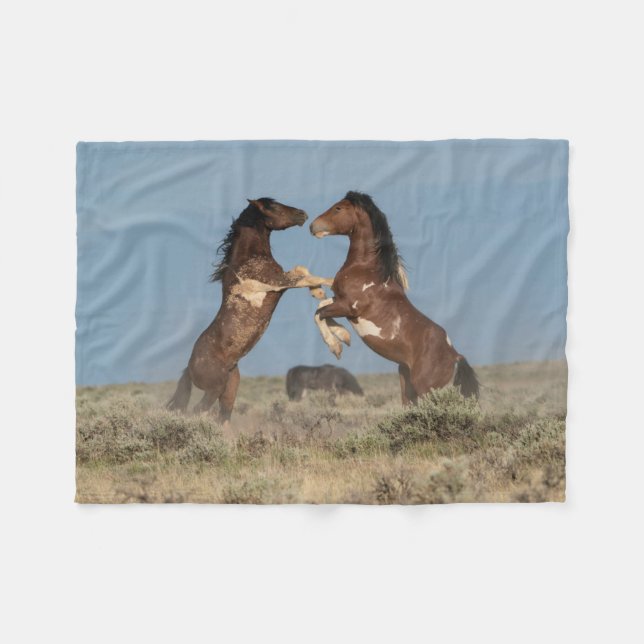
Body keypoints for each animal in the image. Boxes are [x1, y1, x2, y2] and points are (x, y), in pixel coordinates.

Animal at [167, 198, 335, 421]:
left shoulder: (283, 280)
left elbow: (304, 272)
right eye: (273, 206)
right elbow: (309, 276)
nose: (302, 214)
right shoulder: (280, 282)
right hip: (213, 389)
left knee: (223, 418)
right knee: (197, 411)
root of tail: (190, 367)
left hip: (229, 391)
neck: (248, 259)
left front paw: (319, 293)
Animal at [309, 191, 479, 404]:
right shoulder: (338, 300)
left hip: (425, 388)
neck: (366, 269)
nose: (312, 226)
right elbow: (320, 307)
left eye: (338, 208)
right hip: (406, 382)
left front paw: (336, 347)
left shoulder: (349, 307)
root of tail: (455, 355)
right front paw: (343, 336)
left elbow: (319, 313)